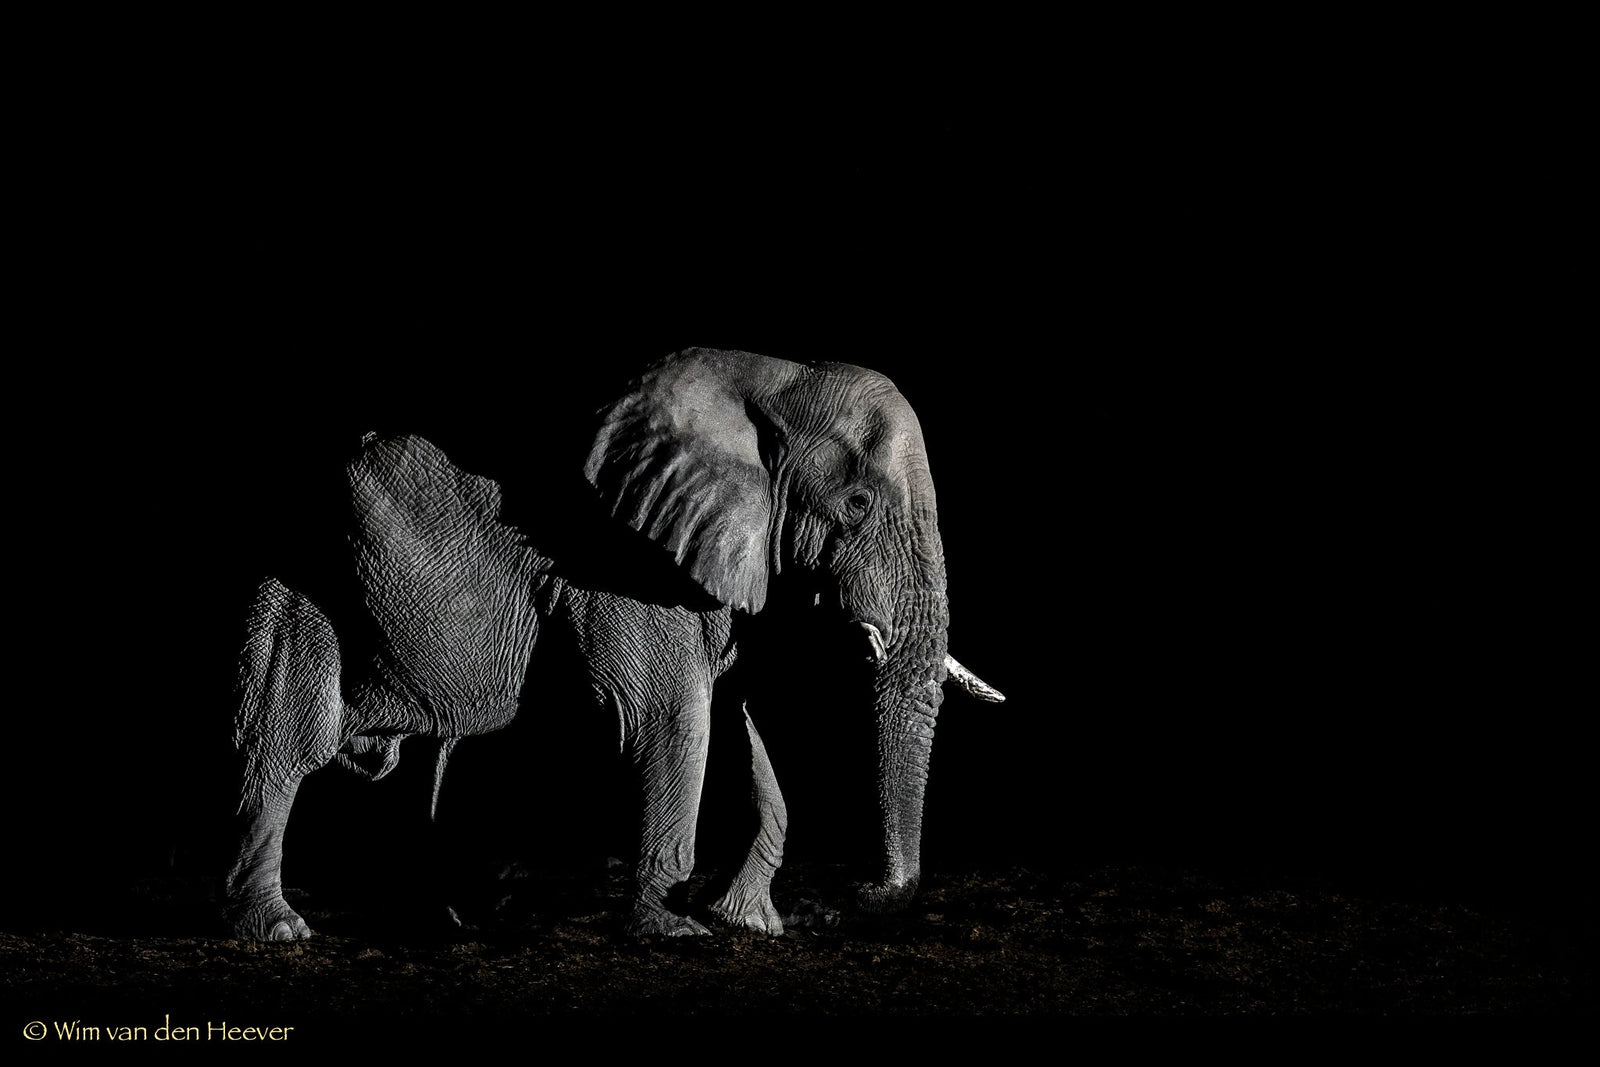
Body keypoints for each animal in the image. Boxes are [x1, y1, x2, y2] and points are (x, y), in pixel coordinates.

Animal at [224, 347, 1004, 941]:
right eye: (858, 504)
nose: (862, 894)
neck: (768, 383)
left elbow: (742, 721)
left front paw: (750, 925)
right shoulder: (618, 555)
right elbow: (669, 715)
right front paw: (675, 930)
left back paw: (449, 921)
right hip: (301, 566)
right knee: (291, 737)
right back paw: (279, 928)